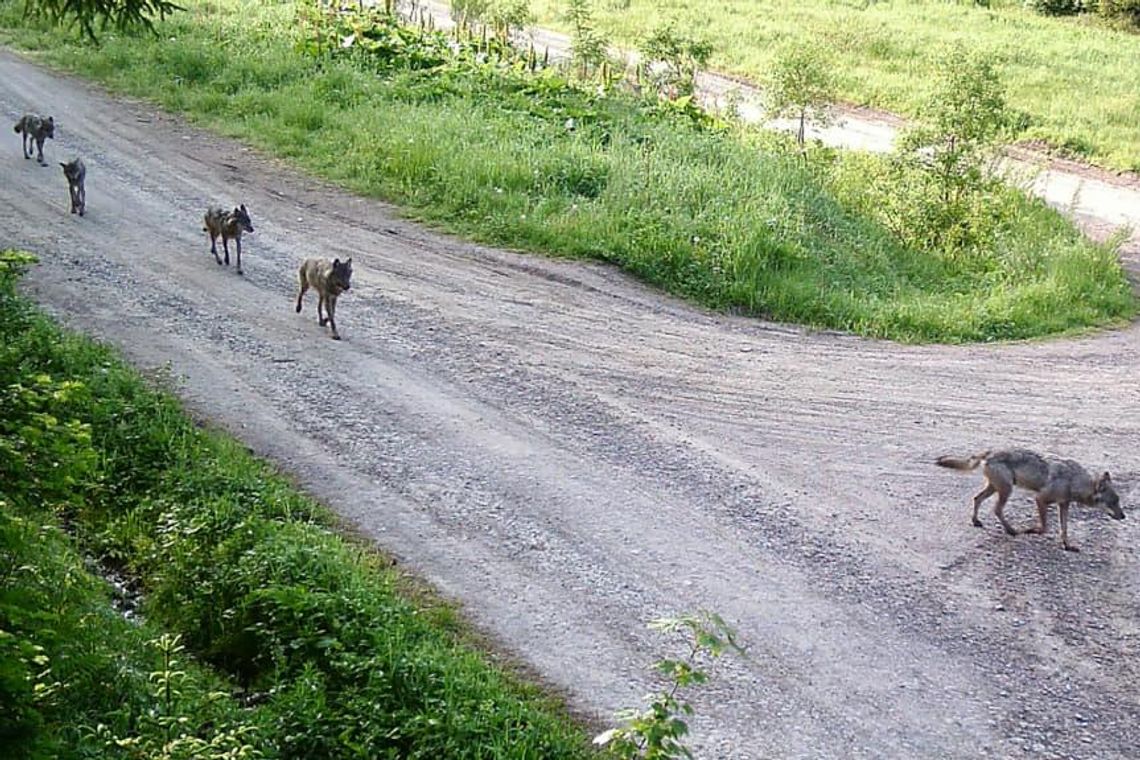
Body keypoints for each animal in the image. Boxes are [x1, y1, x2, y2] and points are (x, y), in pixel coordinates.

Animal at [934, 451, 1121, 553]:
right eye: (1113, 502)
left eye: (1118, 501)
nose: (1124, 516)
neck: (1073, 481)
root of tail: (990, 453)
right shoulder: (1040, 499)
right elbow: (1045, 527)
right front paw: (1032, 530)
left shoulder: (1063, 505)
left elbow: (1064, 530)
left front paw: (1068, 546)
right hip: (1006, 491)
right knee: (996, 509)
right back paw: (1011, 530)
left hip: (995, 489)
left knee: (977, 499)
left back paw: (977, 521)